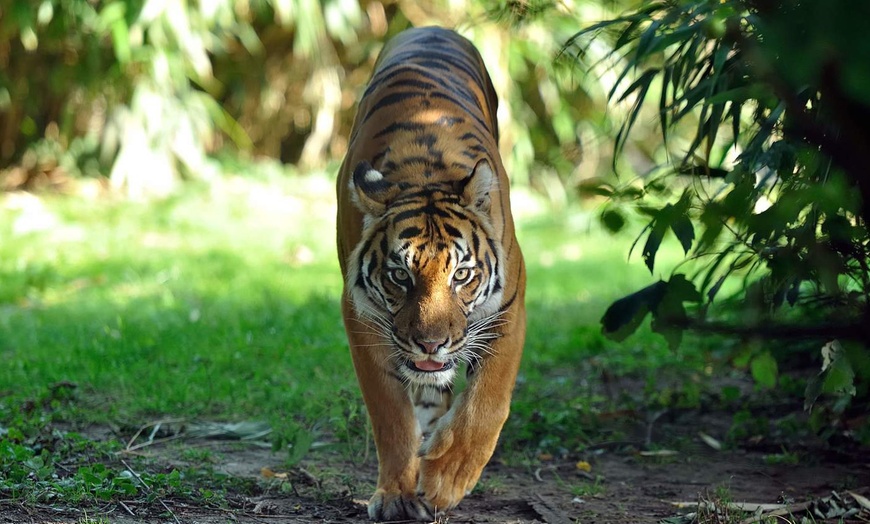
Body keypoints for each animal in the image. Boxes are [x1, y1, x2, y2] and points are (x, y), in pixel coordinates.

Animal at [334, 27, 524, 520]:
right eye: (400, 276)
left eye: (462, 276)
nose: (431, 344)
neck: (425, 174)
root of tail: (432, 27)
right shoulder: (363, 318)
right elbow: (391, 415)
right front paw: (398, 495)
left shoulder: (510, 307)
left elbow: (487, 402)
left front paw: (446, 479)